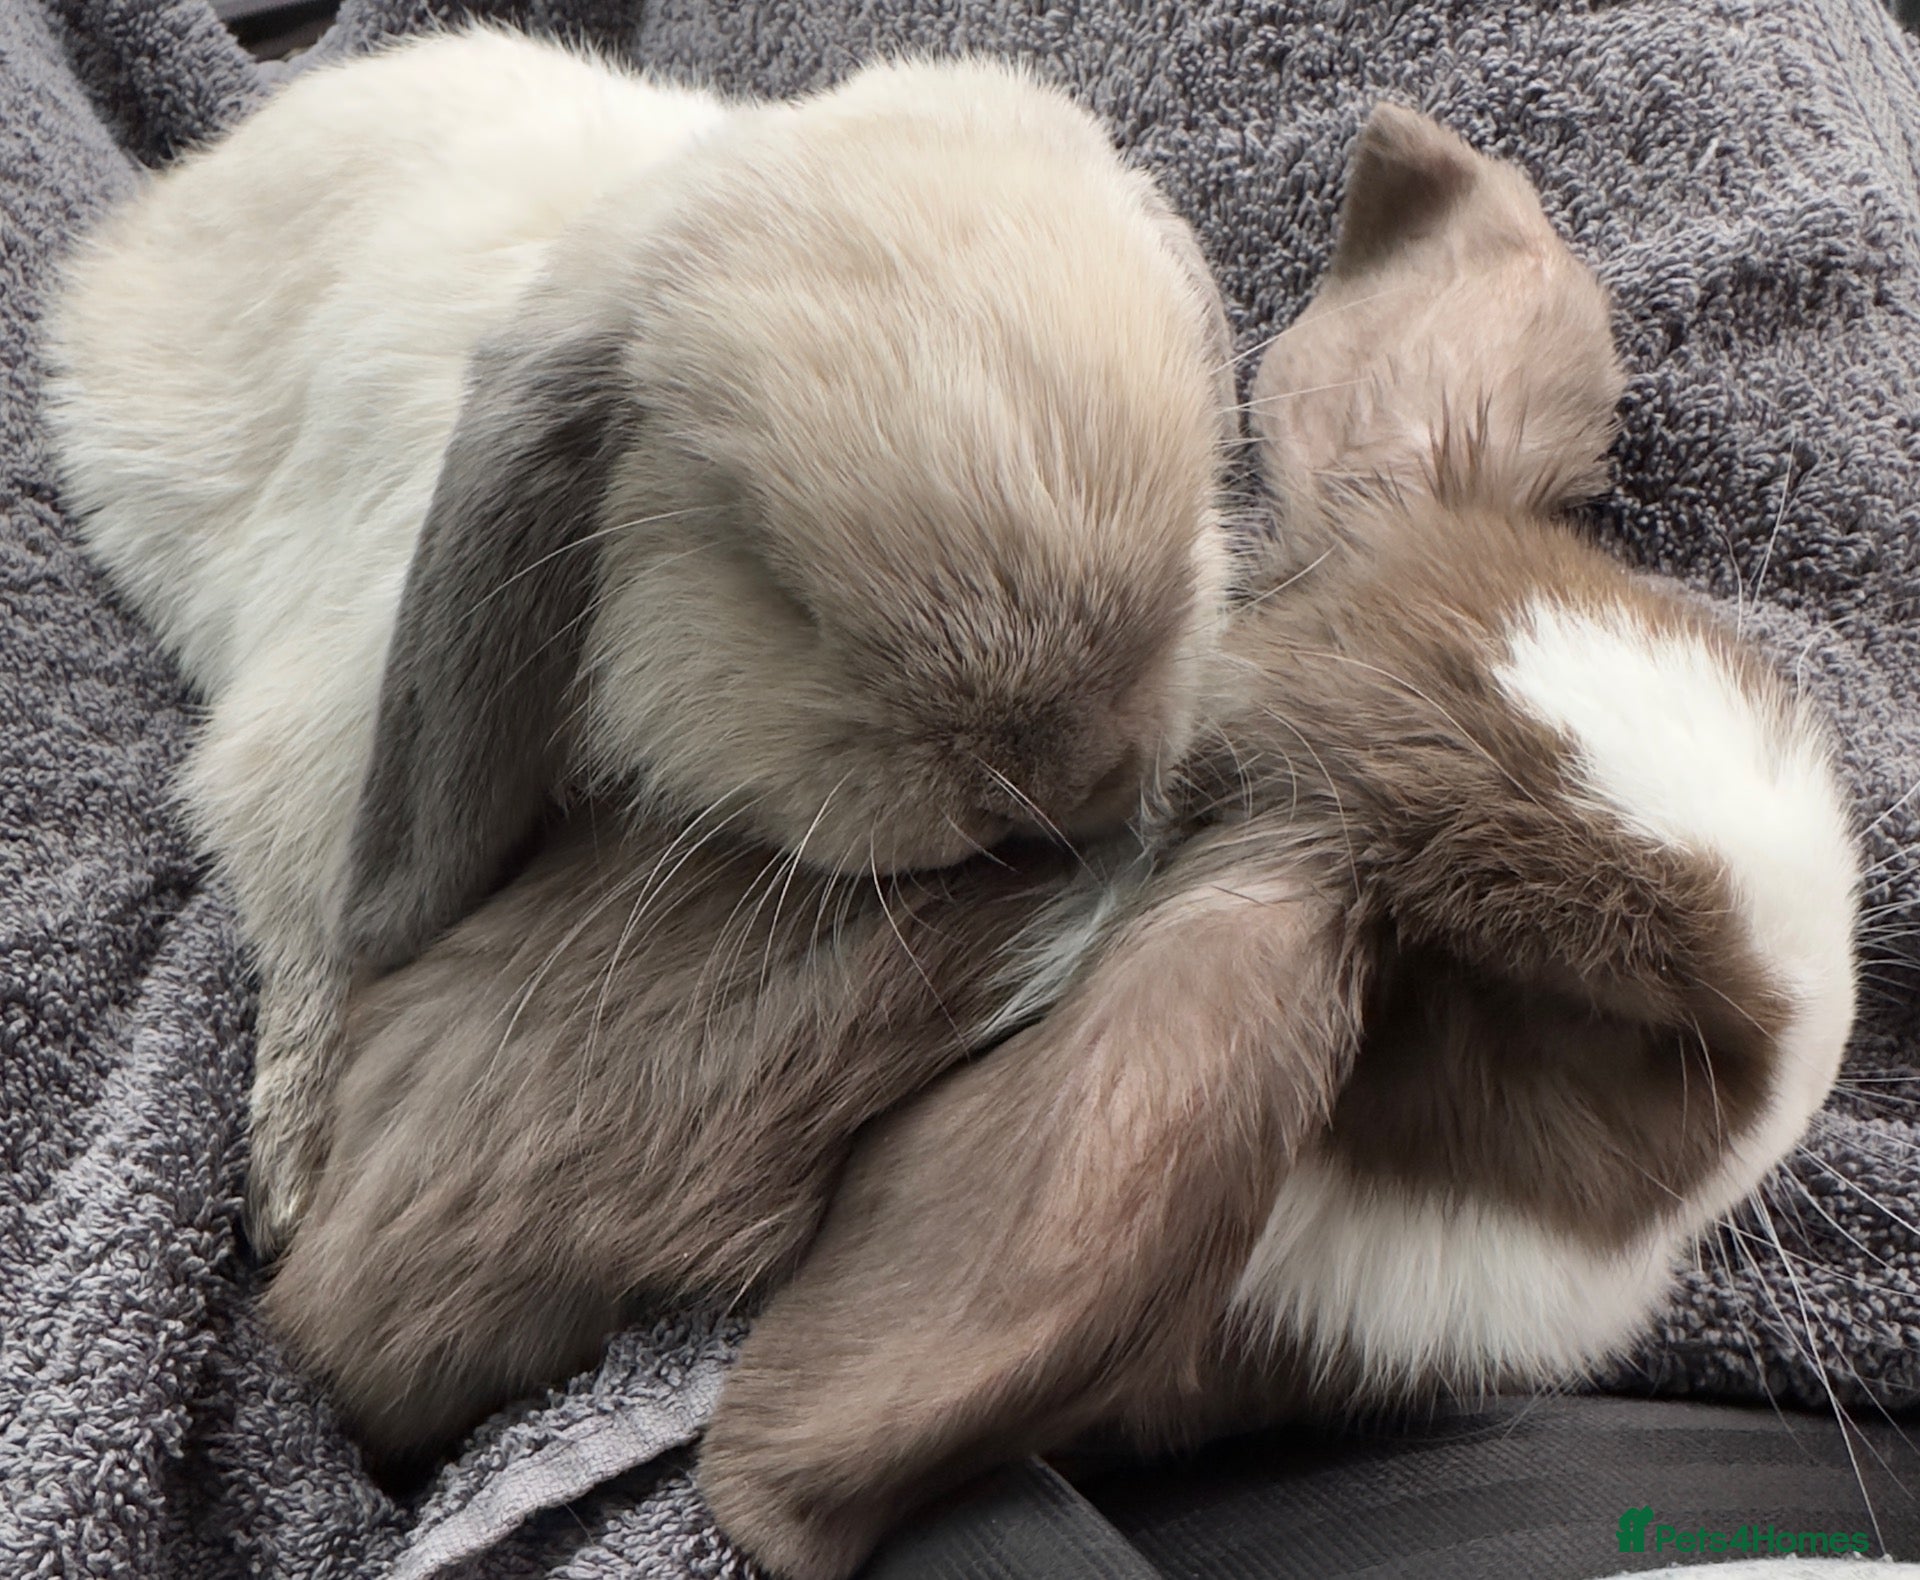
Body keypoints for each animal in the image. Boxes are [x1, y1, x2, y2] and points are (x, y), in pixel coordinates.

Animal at [39, 26, 1236, 1252]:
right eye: (773, 586)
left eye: (1192, 523)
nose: (1062, 778)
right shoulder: (307, 755)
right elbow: (312, 937)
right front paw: (289, 1178)